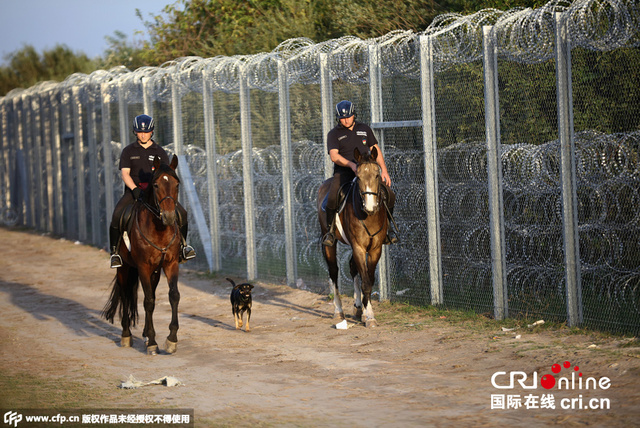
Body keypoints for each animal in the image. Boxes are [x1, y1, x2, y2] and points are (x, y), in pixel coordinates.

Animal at [102, 154, 182, 354]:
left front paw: (171, 339)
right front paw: (153, 342)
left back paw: (144, 334)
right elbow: (148, 301)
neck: (159, 228)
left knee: (149, 292)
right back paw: (126, 335)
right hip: (124, 268)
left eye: (177, 184)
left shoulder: (171, 264)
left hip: (154, 272)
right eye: (156, 185)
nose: (169, 216)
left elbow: (173, 295)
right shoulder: (143, 267)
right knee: (125, 294)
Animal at [318, 147, 388, 328]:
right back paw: (338, 311)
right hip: (329, 242)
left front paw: (364, 310)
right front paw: (370, 316)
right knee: (334, 271)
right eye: (359, 176)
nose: (370, 206)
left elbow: (368, 279)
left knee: (352, 267)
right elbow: (365, 282)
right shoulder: (358, 247)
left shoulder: (375, 249)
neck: (369, 216)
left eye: (377, 175)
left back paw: (358, 308)